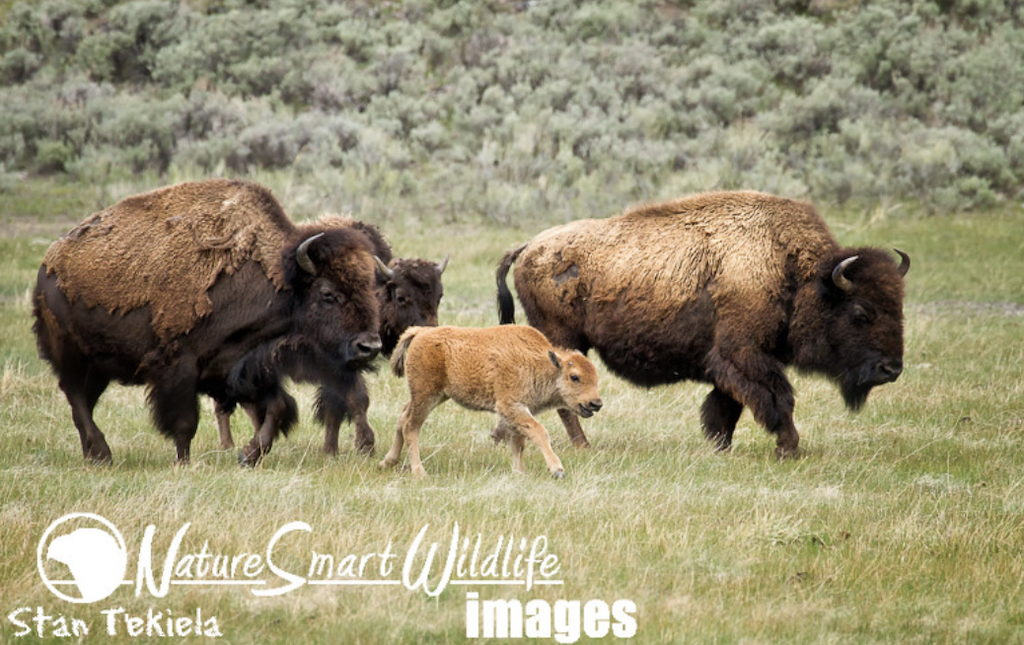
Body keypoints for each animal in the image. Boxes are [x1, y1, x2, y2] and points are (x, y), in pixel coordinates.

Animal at [35, 179, 385, 466]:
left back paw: (93, 454)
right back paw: (102, 453)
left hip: (99, 365)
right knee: (76, 396)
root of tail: (49, 263)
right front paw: (184, 463)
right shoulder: (180, 367)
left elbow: (278, 407)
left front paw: (248, 455)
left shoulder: (240, 369)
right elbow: (185, 421)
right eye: (328, 293)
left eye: (371, 286)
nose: (370, 346)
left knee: (83, 401)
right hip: (71, 354)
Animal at [385, 327, 606, 481]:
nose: (595, 403)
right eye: (574, 377)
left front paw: (519, 474)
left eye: (596, 378)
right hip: (426, 395)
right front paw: (557, 470)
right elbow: (539, 432)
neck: (539, 362)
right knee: (411, 427)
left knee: (403, 415)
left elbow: (519, 444)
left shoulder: (519, 412)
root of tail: (422, 332)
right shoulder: (510, 406)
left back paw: (387, 462)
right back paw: (419, 472)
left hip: (436, 395)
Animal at [497, 192, 913, 460]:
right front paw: (788, 448)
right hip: (563, 339)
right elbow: (778, 398)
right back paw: (582, 446)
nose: (891, 369)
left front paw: (721, 447)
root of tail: (529, 247)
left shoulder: (731, 364)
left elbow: (726, 406)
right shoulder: (744, 354)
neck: (791, 269)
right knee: (564, 398)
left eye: (899, 308)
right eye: (860, 313)